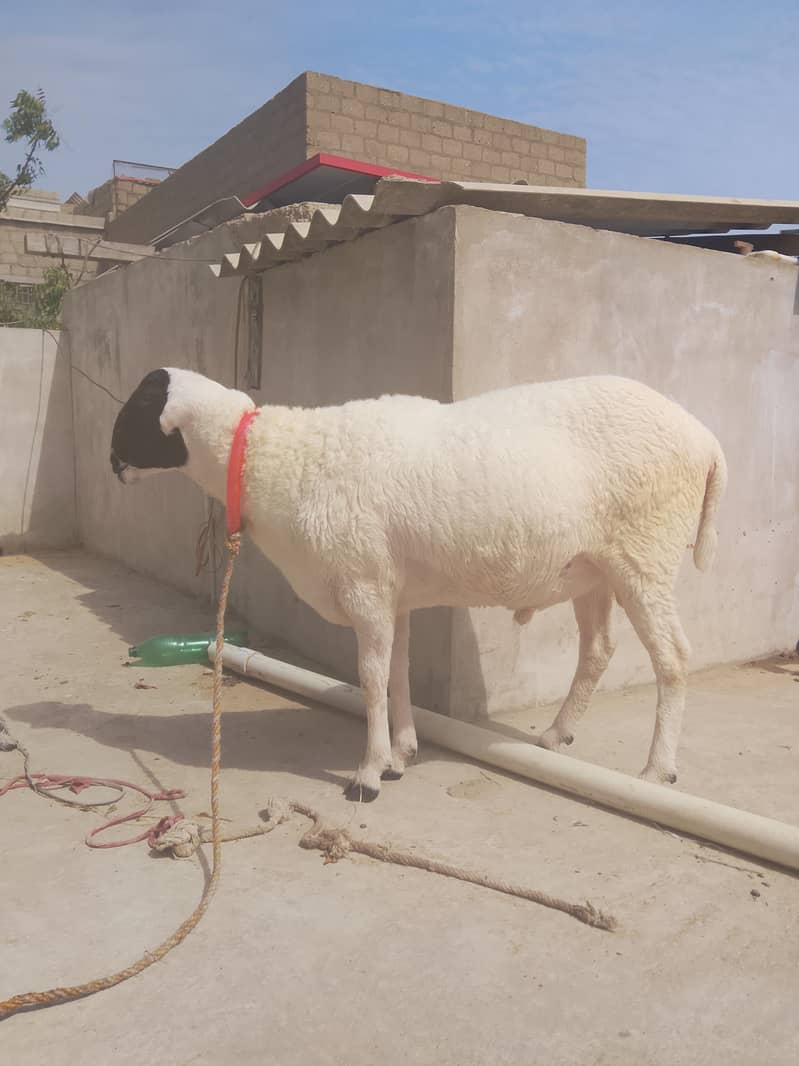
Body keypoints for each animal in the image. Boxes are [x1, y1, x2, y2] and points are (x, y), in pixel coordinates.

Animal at [110, 368, 727, 802]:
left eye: (139, 407)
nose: (112, 463)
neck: (274, 461)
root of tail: (706, 441)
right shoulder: (391, 593)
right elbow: (398, 671)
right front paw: (401, 752)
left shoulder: (364, 584)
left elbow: (370, 678)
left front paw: (367, 773)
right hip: (596, 567)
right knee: (598, 649)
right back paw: (555, 738)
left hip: (646, 553)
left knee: (673, 658)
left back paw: (656, 770)